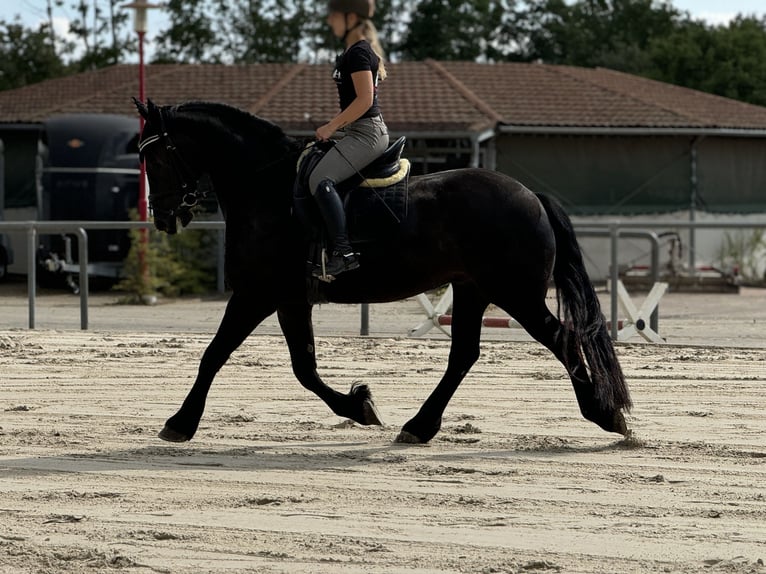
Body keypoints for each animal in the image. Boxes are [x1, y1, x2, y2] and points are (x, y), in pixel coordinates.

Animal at [135, 99, 632, 446]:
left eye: (154, 158)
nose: (164, 217)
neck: (266, 189)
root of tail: (531, 195)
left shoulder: (257, 294)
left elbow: (215, 355)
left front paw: (179, 423)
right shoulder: (290, 299)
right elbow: (303, 368)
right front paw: (360, 406)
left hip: (515, 293)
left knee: (561, 339)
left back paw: (605, 414)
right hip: (473, 288)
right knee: (464, 354)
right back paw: (420, 426)